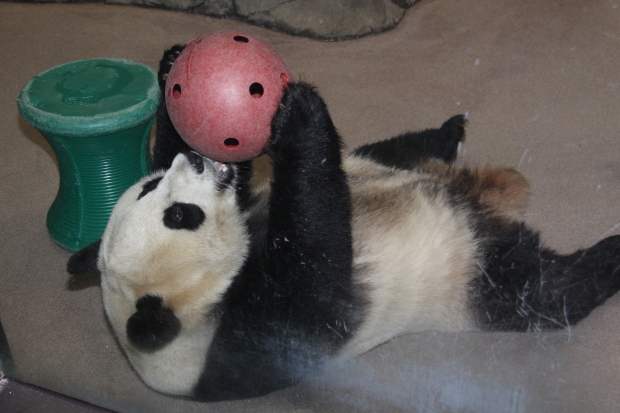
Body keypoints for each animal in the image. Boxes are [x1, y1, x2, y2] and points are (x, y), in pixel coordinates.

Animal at [65, 46, 620, 400]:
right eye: (179, 215)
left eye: (153, 189)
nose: (201, 163)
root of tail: (477, 199)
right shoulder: (253, 343)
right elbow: (317, 259)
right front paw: (298, 116)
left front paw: (171, 70)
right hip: (468, 274)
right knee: (543, 291)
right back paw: (609, 252)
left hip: (374, 160)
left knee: (402, 146)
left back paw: (451, 130)